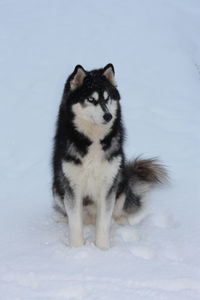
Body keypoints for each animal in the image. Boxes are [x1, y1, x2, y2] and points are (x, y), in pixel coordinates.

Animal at [52, 64, 167, 250]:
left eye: (107, 99)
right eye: (91, 99)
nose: (108, 116)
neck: (93, 140)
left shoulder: (107, 186)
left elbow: (104, 222)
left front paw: (103, 249)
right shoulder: (72, 186)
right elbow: (75, 223)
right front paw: (77, 249)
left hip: (121, 184)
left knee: (119, 212)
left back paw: (121, 223)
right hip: (57, 188)